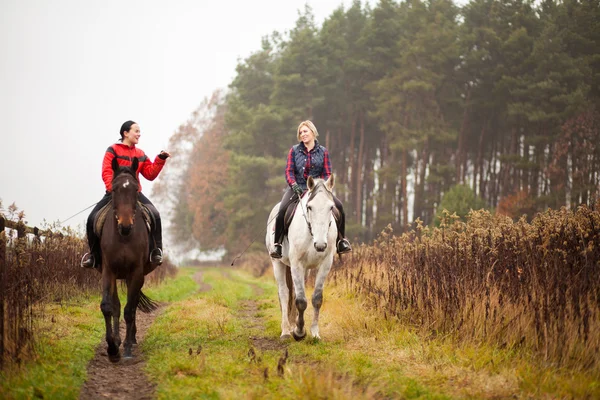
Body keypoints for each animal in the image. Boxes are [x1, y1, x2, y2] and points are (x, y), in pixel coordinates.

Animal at [101, 157, 158, 362]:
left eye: (135, 190)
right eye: (114, 189)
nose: (125, 226)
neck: (124, 237)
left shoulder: (136, 273)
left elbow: (129, 310)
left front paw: (125, 349)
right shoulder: (108, 271)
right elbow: (109, 307)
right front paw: (112, 348)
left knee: (132, 307)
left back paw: (131, 340)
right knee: (118, 305)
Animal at [266, 175, 338, 340]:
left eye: (331, 207)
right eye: (309, 207)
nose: (320, 245)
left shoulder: (325, 264)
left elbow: (316, 299)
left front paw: (314, 333)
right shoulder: (296, 264)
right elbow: (300, 300)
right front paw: (299, 332)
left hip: (304, 269)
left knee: (294, 292)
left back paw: (292, 326)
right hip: (277, 263)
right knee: (284, 293)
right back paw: (286, 331)